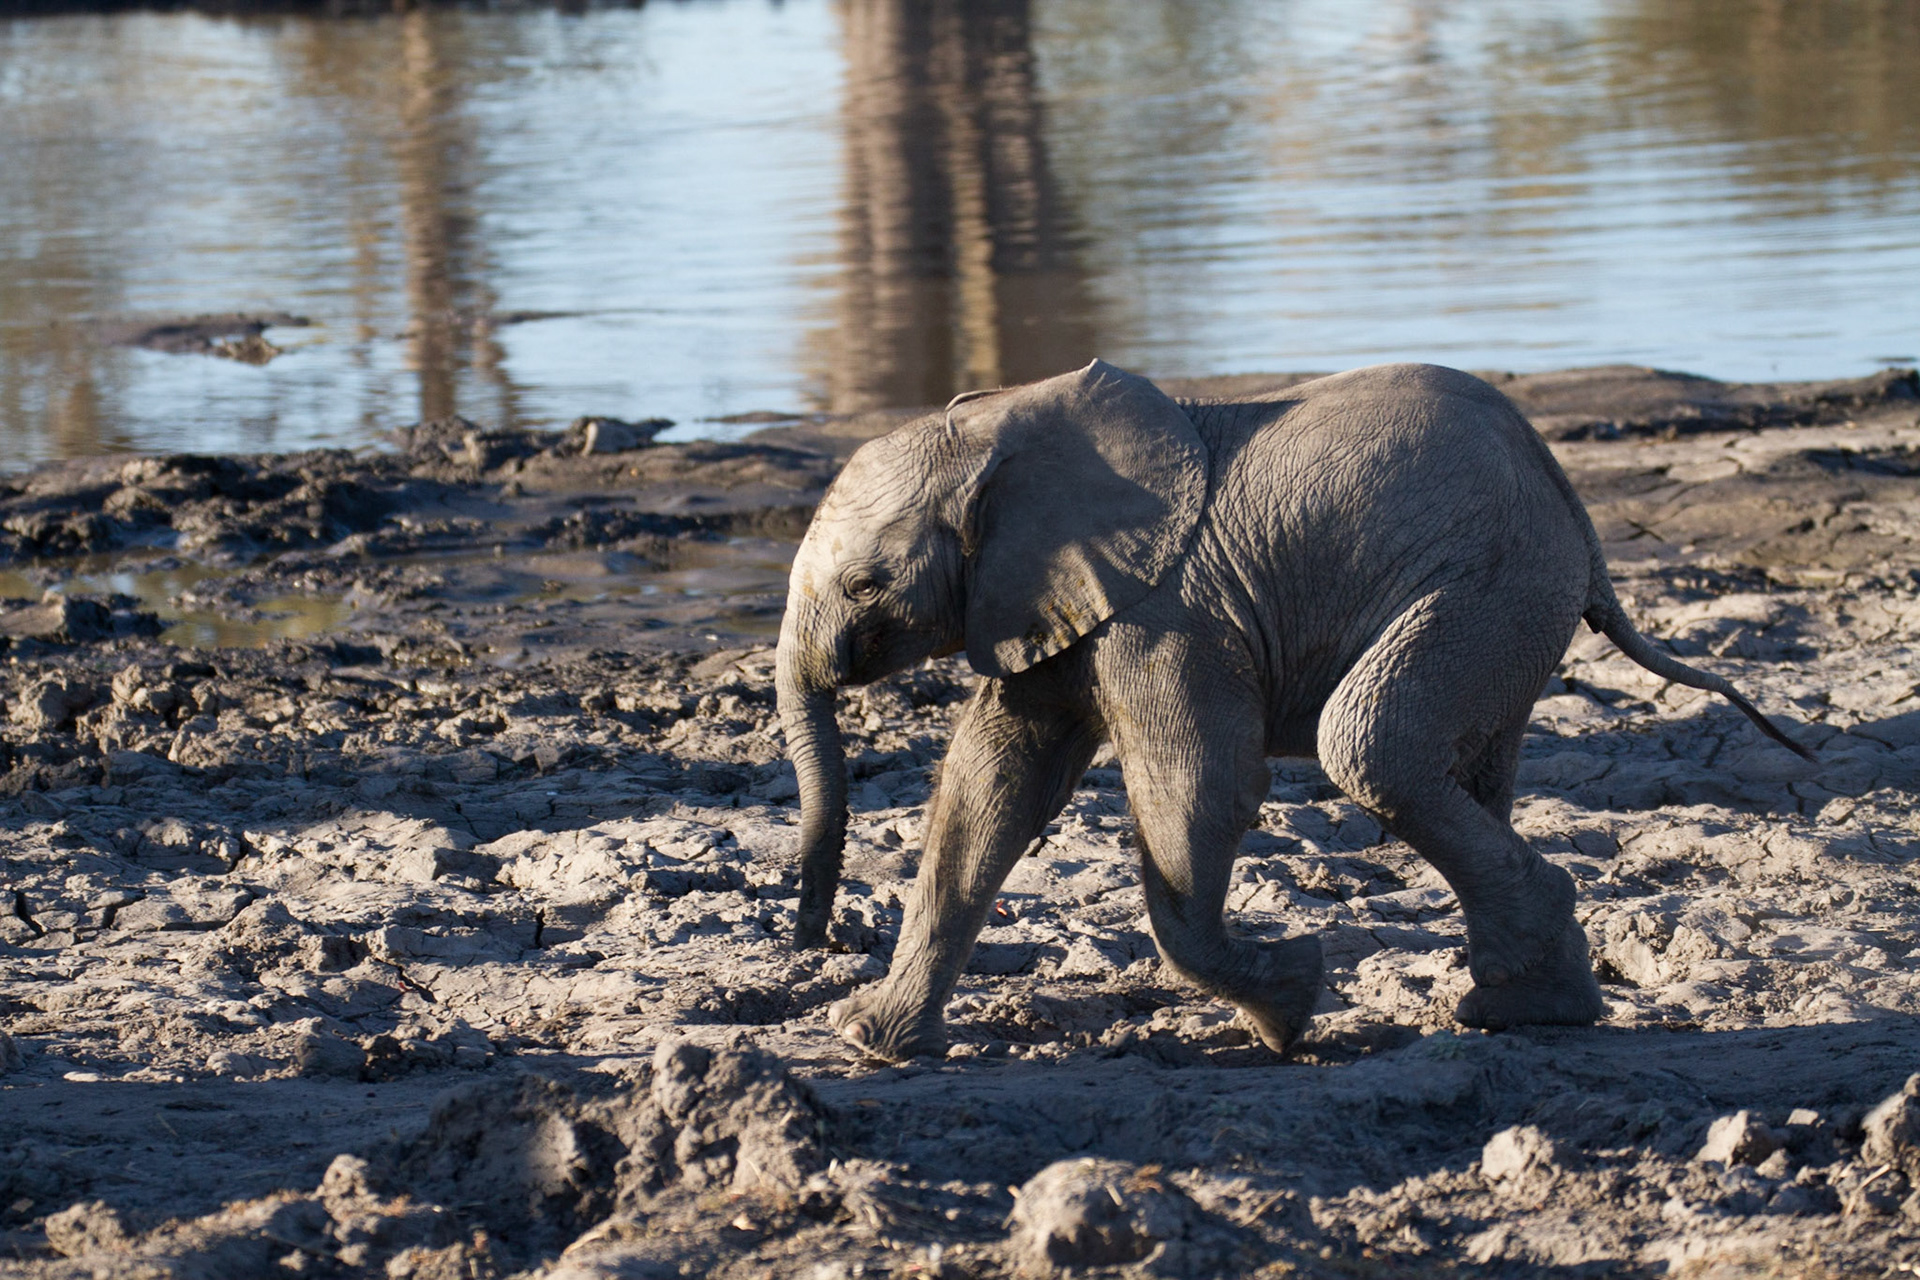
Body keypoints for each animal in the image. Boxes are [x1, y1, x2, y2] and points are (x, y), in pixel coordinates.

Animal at [774, 359, 1809, 1062]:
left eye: (866, 586)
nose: (813, 935)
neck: (1002, 428)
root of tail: (1582, 521)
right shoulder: (1044, 595)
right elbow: (992, 783)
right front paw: (869, 1039)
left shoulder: (1168, 613)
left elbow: (1199, 792)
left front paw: (1294, 1006)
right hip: (1514, 603)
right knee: (1467, 774)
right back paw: (1529, 1007)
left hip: (1492, 583)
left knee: (1368, 748)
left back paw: (1521, 1007)